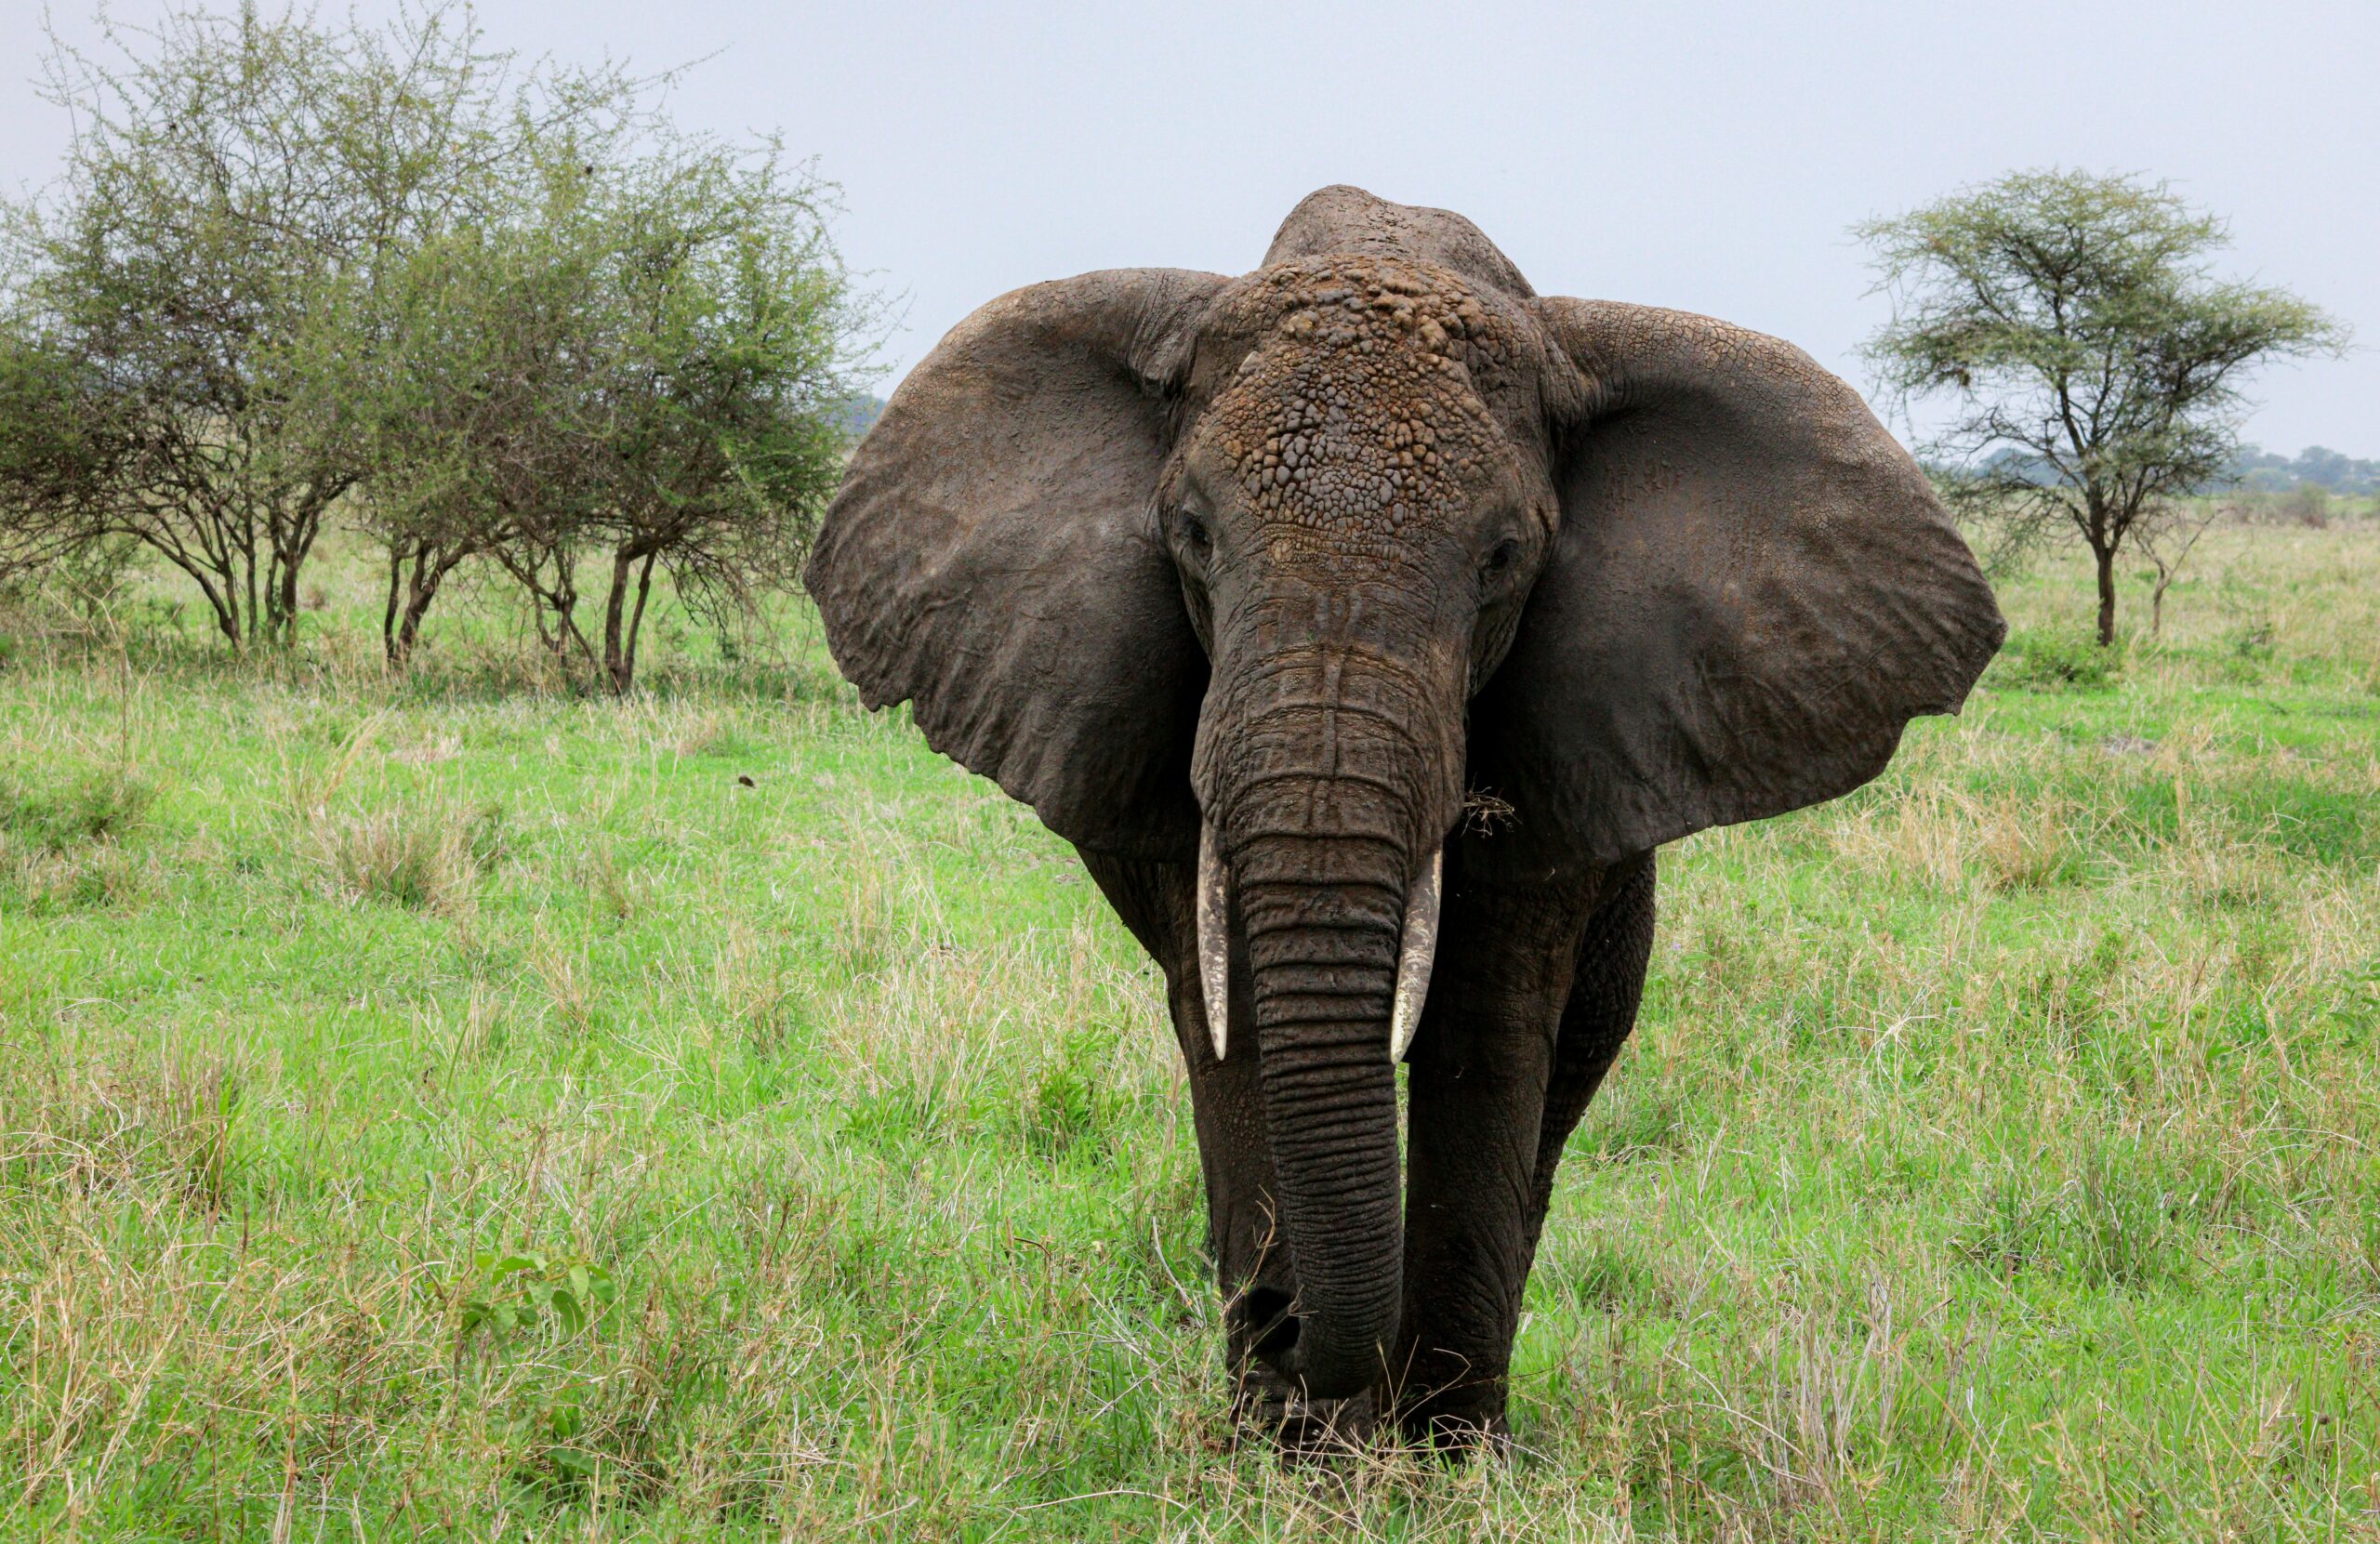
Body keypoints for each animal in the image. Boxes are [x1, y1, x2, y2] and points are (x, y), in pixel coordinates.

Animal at [805, 186, 2004, 1449]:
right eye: (1191, 534)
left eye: (1503, 557)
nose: (1277, 1324)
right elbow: (1231, 1024)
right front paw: (1292, 1450)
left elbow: (1486, 1025)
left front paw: (1442, 1452)